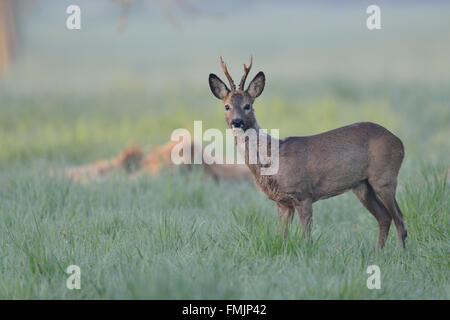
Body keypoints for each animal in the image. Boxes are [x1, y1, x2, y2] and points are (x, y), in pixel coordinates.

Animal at [207, 56, 408, 249]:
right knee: (385, 217)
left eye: (248, 105)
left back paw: (401, 254)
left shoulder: (303, 193)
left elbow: (306, 237)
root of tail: (400, 142)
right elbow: (282, 237)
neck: (271, 157)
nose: (237, 122)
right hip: (362, 186)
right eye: (227, 106)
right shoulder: (282, 202)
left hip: (384, 176)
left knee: (399, 219)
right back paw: (378, 253)